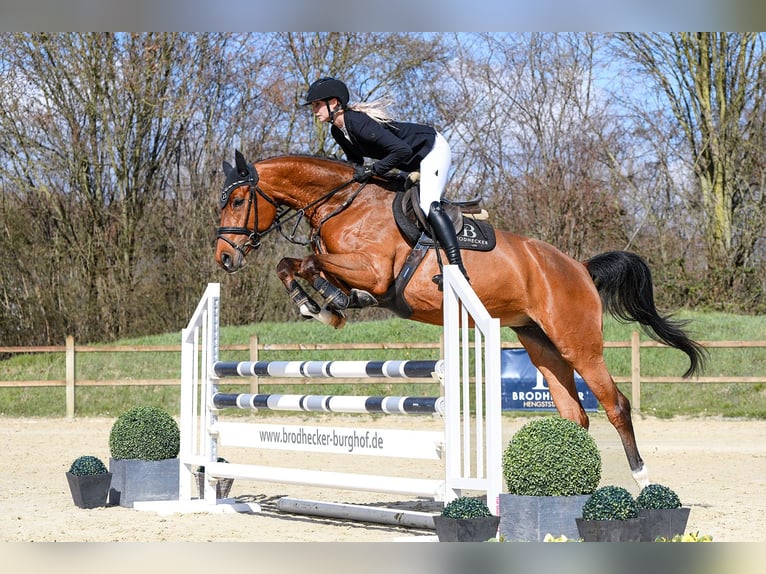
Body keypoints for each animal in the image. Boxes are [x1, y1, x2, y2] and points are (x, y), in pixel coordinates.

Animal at [215, 150, 707, 487]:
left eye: (237, 200)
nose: (224, 258)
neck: (344, 203)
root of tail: (580, 268)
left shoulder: (373, 270)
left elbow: (313, 262)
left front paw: (330, 302)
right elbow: (291, 264)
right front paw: (315, 305)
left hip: (577, 341)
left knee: (615, 405)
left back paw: (642, 479)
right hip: (539, 343)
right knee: (573, 413)